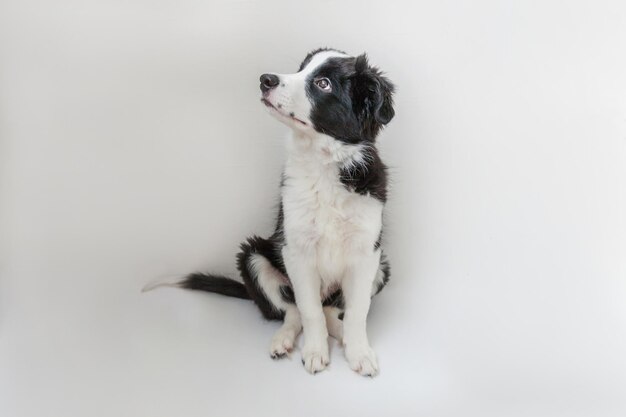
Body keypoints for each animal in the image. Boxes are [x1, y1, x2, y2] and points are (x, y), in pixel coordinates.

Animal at [146, 47, 392, 376]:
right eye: (300, 69)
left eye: (323, 83)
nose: (265, 79)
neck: (323, 163)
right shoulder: (295, 250)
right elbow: (308, 311)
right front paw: (315, 352)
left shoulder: (367, 253)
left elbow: (356, 311)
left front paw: (359, 352)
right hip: (254, 256)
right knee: (293, 311)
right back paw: (284, 341)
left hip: (382, 267)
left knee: (331, 309)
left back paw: (338, 333)